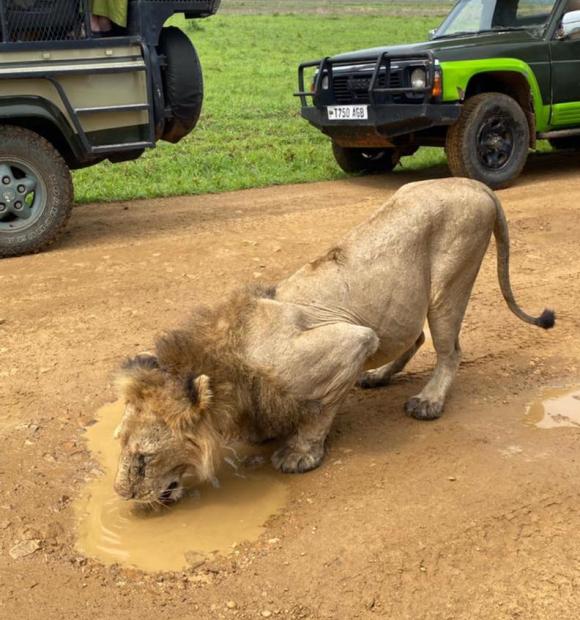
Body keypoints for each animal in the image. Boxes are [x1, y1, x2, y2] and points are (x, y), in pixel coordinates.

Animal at [112, 178, 552, 504]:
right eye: (120, 444)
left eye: (143, 458)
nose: (121, 494)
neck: (225, 364)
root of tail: (475, 183)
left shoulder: (350, 342)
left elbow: (319, 411)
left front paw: (298, 454)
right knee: (414, 336)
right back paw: (379, 377)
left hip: (451, 279)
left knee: (450, 349)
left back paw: (428, 401)